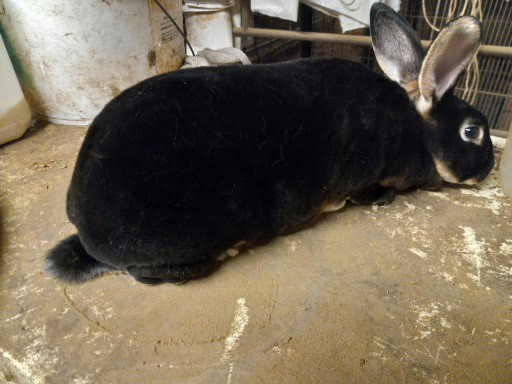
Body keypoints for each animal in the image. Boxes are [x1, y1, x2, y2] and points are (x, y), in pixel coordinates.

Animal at [46, 3, 494, 284]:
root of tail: (82, 223)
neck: (415, 130)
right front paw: (383, 199)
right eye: (472, 131)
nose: (490, 168)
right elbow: (371, 191)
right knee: (149, 274)